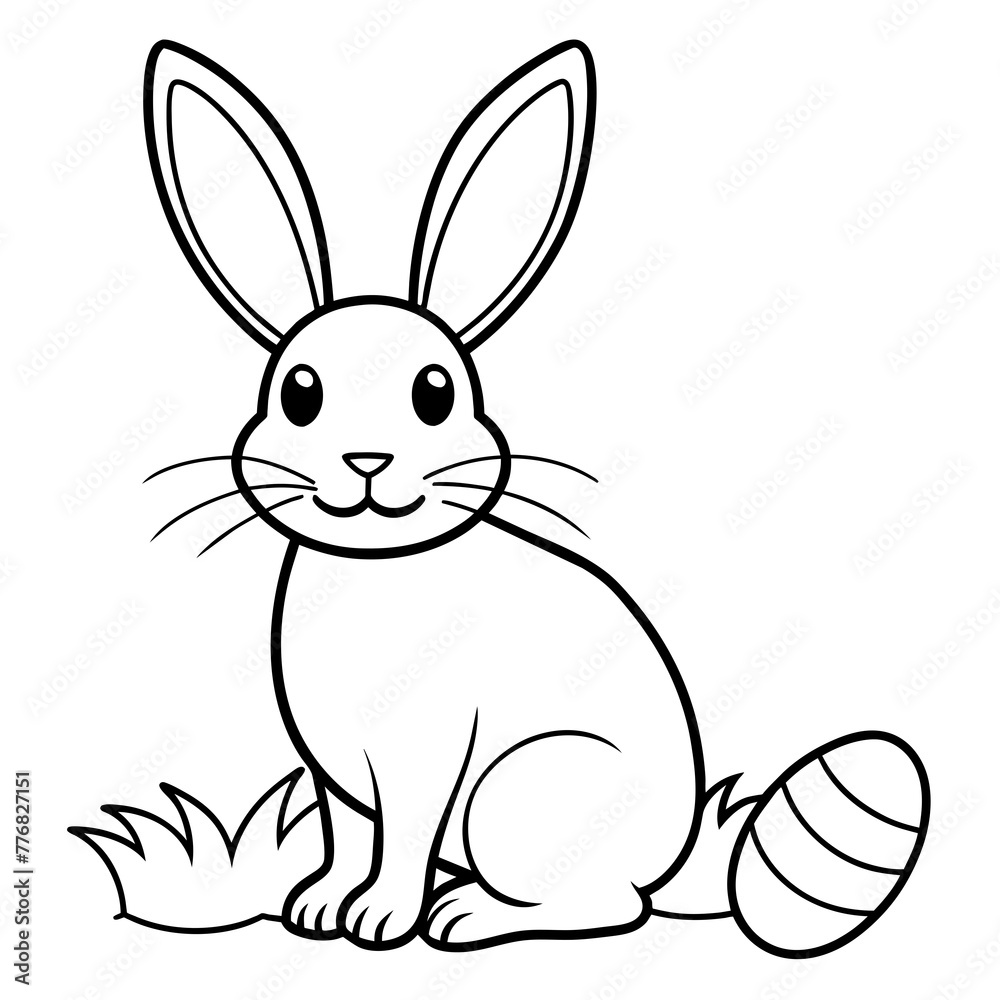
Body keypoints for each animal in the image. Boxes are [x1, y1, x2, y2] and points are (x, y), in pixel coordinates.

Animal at [142, 40, 929, 954]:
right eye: (298, 393)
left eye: (436, 392)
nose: (367, 460)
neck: (380, 566)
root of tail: (673, 858)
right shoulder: (336, 780)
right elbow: (346, 836)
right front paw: (318, 908)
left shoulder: (425, 763)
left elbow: (401, 841)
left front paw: (378, 920)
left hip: (519, 795)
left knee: (608, 906)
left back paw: (467, 915)